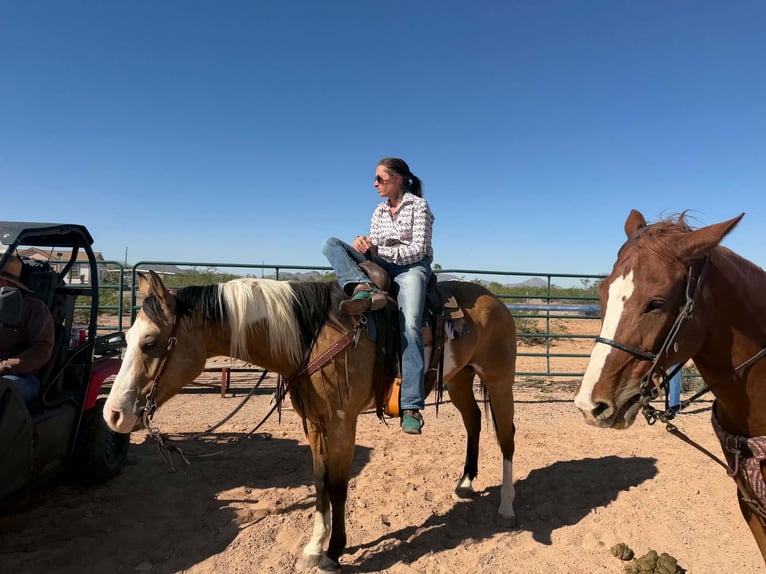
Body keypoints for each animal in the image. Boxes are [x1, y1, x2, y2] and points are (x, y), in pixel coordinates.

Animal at [103, 271, 517, 572]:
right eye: (128, 338)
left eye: (150, 343)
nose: (113, 414)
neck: (313, 338)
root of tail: (495, 300)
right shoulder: (314, 423)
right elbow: (319, 481)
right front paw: (314, 545)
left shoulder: (341, 423)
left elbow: (338, 486)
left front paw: (333, 553)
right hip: (460, 377)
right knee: (474, 421)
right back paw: (466, 482)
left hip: (499, 379)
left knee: (507, 436)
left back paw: (507, 507)